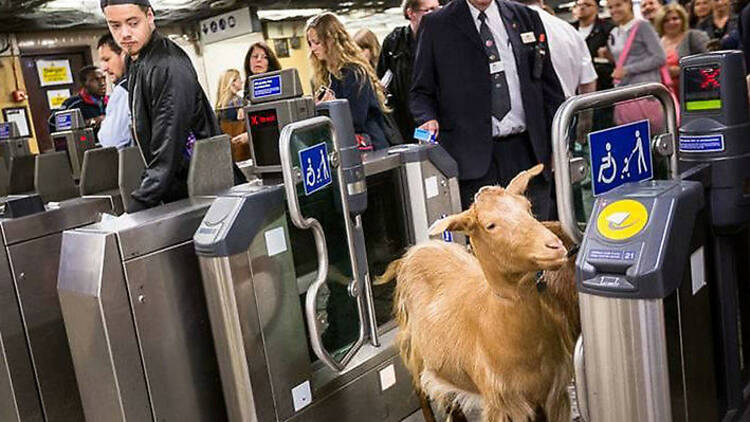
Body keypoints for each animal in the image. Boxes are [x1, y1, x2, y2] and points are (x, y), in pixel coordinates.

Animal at [382, 164, 580, 422]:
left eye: (528, 207)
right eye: (490, 225)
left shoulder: (553, 395)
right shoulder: (503, 403)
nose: (555, 247)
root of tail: (416, 250)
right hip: (414, 350)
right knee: (421, 390)